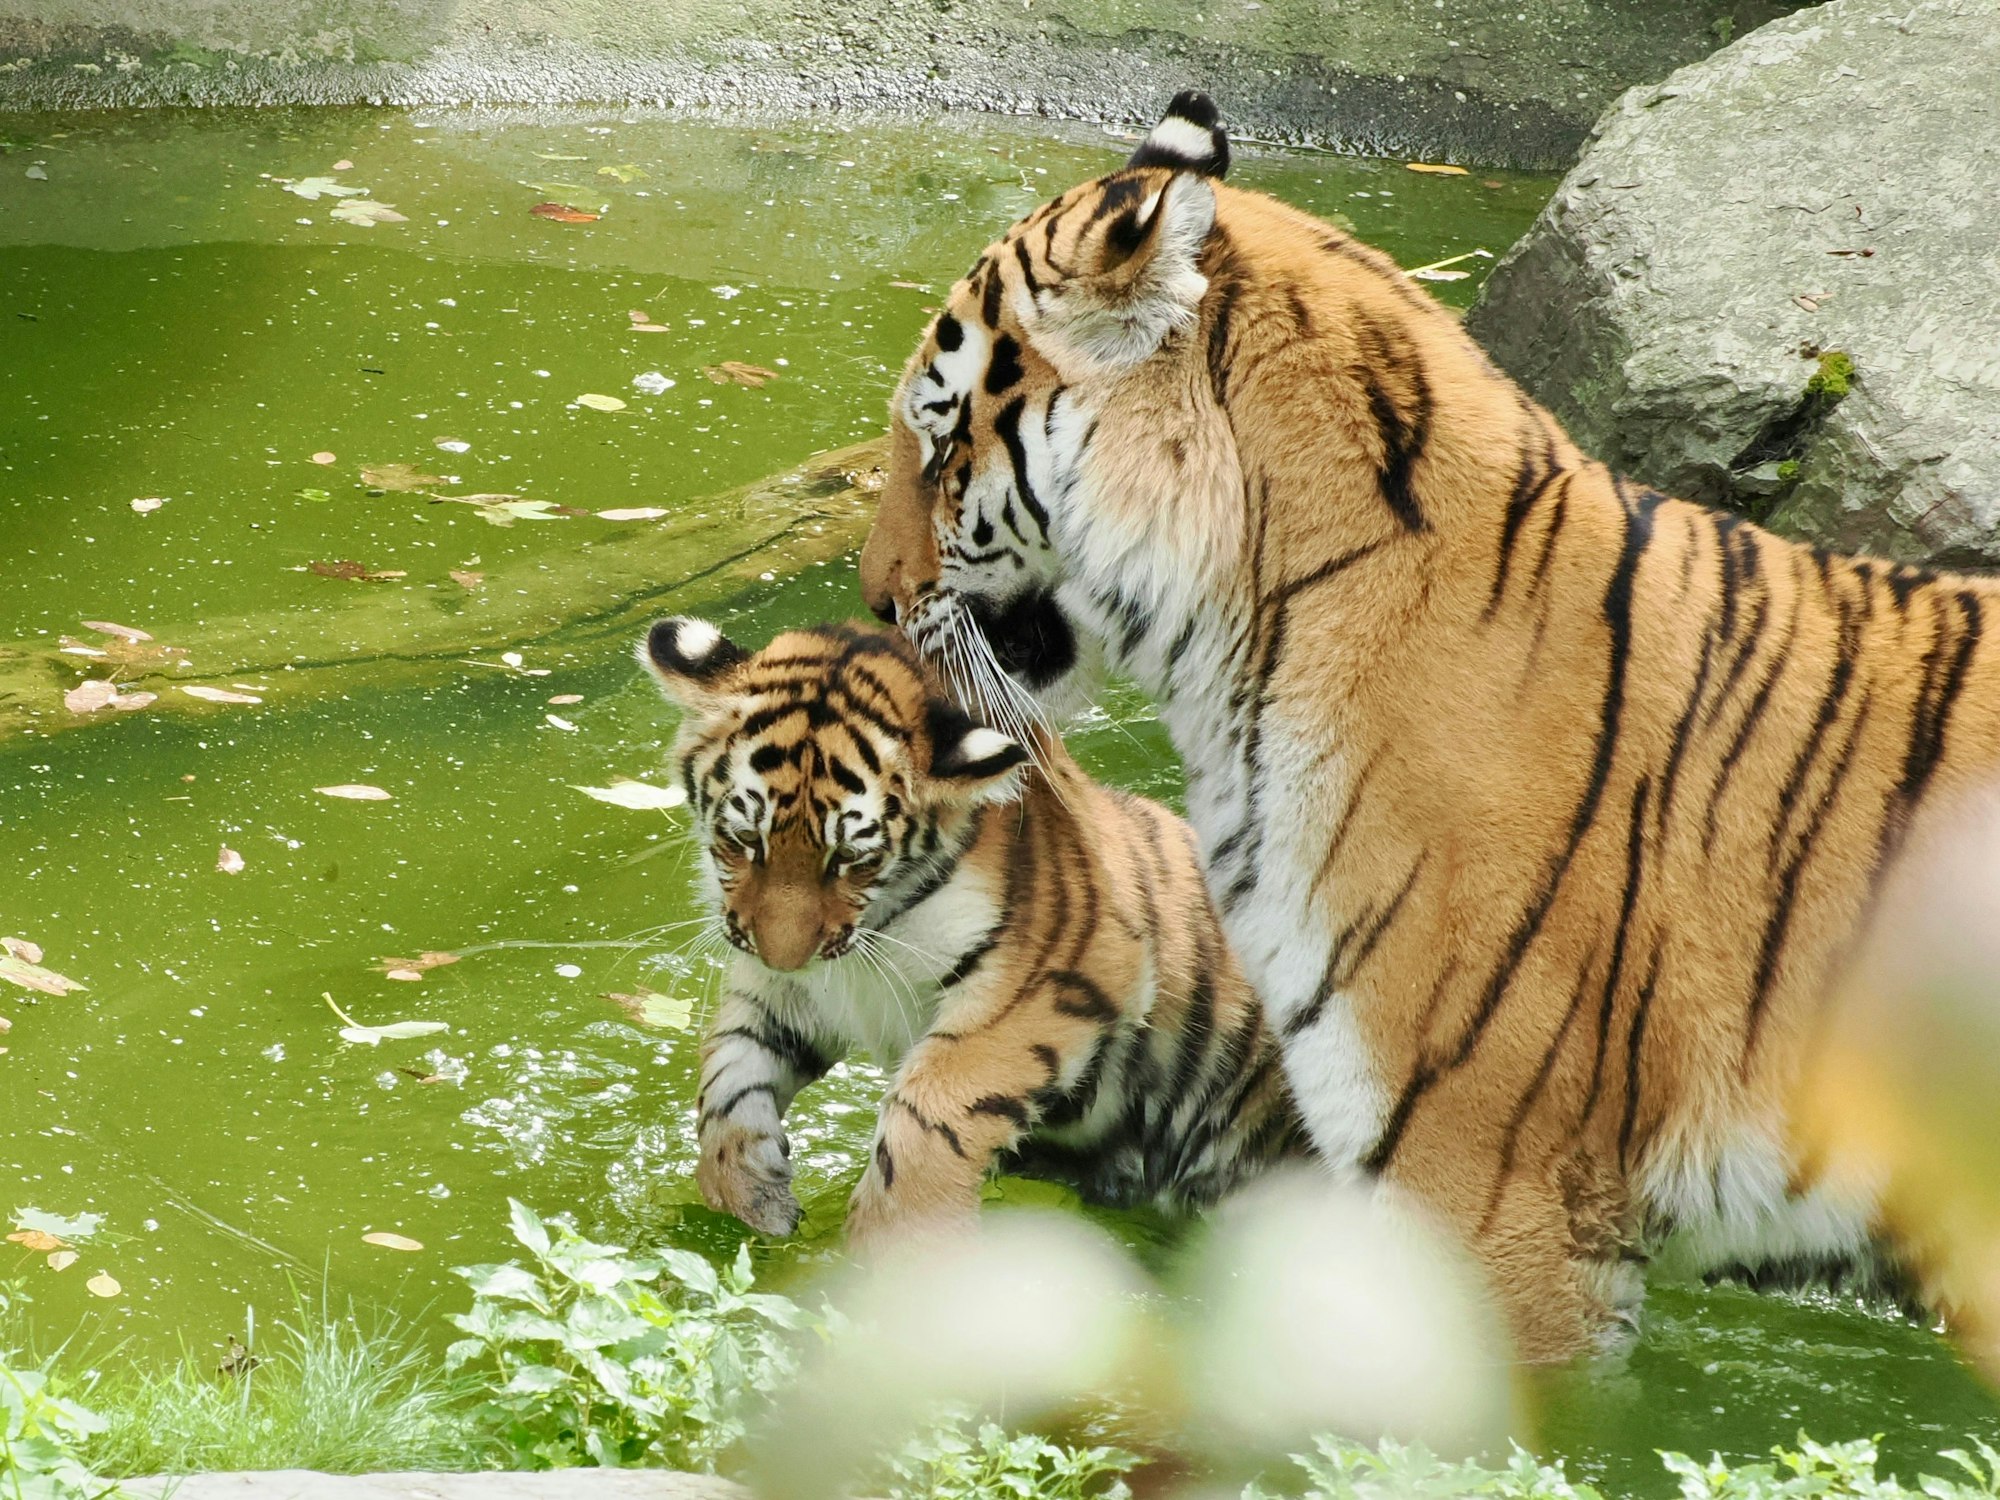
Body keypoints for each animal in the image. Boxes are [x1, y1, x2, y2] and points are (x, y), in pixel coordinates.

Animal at [638, 615, 1304, 1248]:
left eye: (851, 858)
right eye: (745, 839)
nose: (785, 956)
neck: (867, 934)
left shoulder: (1060, 974)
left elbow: (930, 1111)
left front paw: (898, 1244)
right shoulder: (785, 991)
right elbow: (728, 1074)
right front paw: (746, 1188)